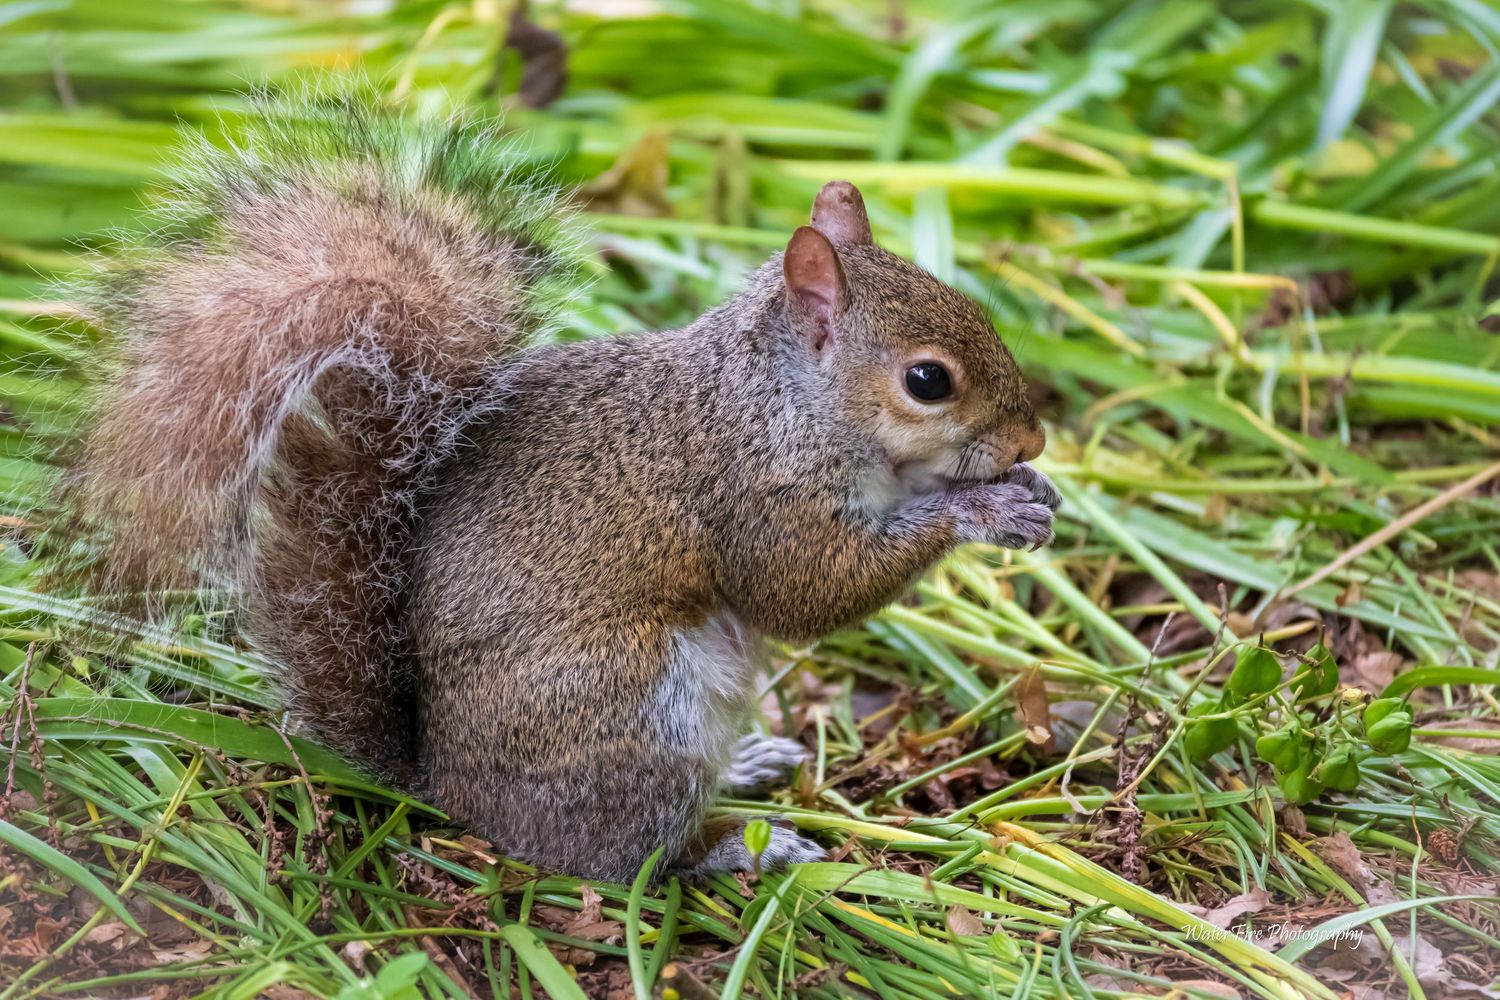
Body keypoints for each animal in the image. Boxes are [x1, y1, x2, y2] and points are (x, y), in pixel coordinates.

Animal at [52, 90, 1058, 881]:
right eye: (928, 380)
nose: (1035, 435)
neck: (780, 399)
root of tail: (446, 786)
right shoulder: (751, 492)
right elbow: (806, 590)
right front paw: (985, 507)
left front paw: (1033, 490)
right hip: (633, 709)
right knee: (628, 859)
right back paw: (741, 846)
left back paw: (746, 768)